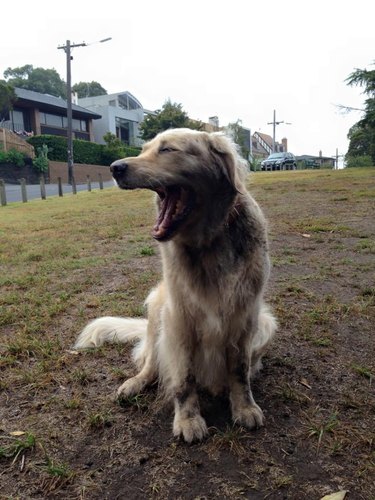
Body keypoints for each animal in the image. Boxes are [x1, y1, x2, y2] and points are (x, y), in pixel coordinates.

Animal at [75, 128, 278, 442]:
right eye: (143, 149)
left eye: (167, 149)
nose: (114, 167)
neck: (207, 243)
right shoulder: (179, 320)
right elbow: (184, 379)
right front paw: (188, 420)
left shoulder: (246, 318)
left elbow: (240, 370)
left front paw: (244, 407)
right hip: (157, 309)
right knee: (150, 363)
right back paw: (135, 383)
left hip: (266, 325)